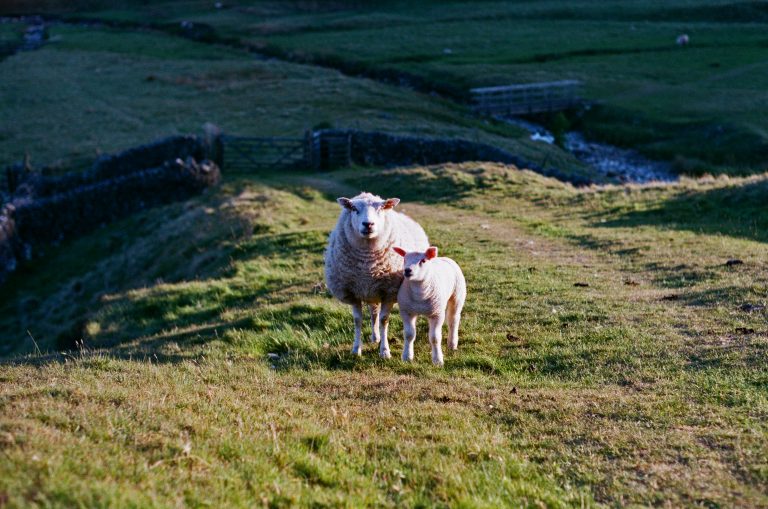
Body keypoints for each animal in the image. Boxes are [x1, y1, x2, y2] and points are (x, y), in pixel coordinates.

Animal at [324, 191, 428, 358]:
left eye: (380, 209)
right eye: (354, 209)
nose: (368, 224)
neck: (368, 266)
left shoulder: (389, 292)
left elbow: (384, 320)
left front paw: (385, 351)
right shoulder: (353, 293)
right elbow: (357, 320)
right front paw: (356, 349)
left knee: (377, 315)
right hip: (370, 291)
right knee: (373, 314)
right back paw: (374, 337)